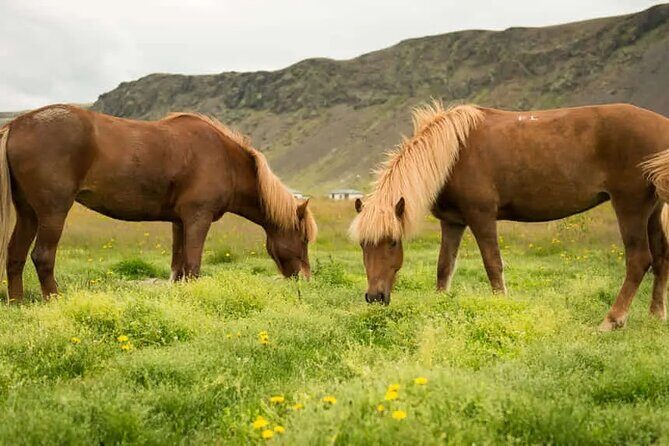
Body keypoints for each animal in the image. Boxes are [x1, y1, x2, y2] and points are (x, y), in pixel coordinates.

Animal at [0, 105, 317, 302]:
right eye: (303, 239)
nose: (305, 279)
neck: (224, 159)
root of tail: (17, 124)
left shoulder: (179, 222)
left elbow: (178, 268)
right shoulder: (197, 219)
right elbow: (193, 266)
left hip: (28, 213)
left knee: (15, 255)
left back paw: (17, 303)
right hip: (53, 212)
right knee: (42, 256)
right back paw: (54, 300)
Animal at [350, 101, 669, 331]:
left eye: (392, 242)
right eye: (363, 245)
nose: (374, 297)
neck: (453, 153)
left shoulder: (481, 218)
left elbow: (493, 265)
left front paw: (501, 307)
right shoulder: (453, 222)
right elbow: (444, 267)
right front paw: (439, 306)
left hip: (630, 205)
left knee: (639, 260)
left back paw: (612, 320)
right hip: (652, 210)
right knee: (661, 257)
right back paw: (655, 315)